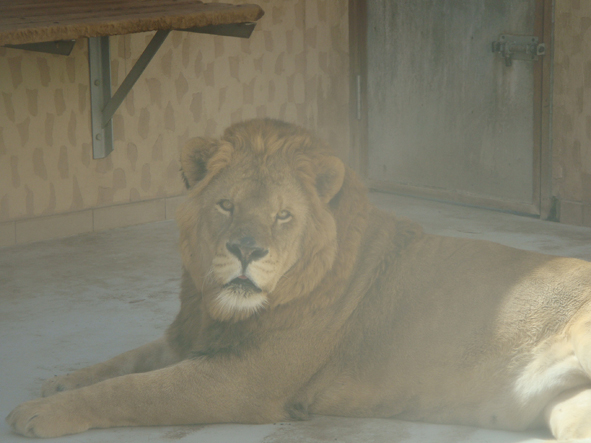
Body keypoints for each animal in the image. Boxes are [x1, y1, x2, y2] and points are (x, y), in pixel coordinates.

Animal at [5, 119, 591, 440]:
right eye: (226, 205)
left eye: (283, 215)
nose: (246, 250)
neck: (214, 306)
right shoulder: (188, 338)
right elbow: (123, 362)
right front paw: (61, 382)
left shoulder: (242, 381)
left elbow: (133, 390)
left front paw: (38, 412)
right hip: (568, 411)